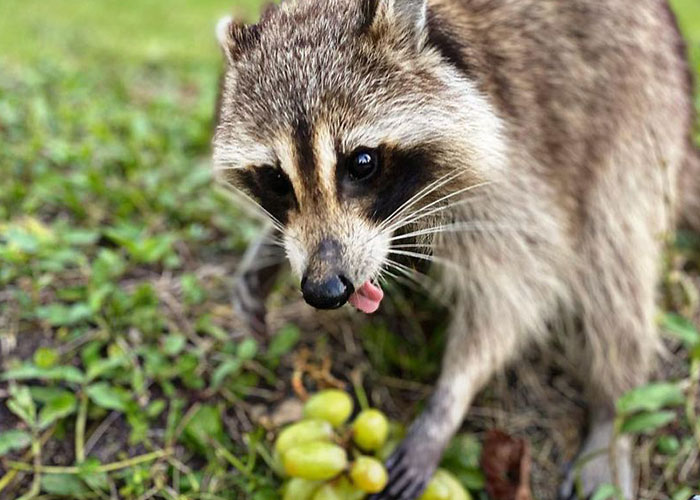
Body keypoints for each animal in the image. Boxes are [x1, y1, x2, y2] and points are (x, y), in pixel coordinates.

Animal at [211, 0, 700, 498]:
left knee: (615, 261)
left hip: (640, 120)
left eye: (362, 163)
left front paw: (449, 401)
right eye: (276, 179)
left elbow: (517, 287)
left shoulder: (519, 165)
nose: (324, 289)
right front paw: (268, 248)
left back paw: (612, 408)